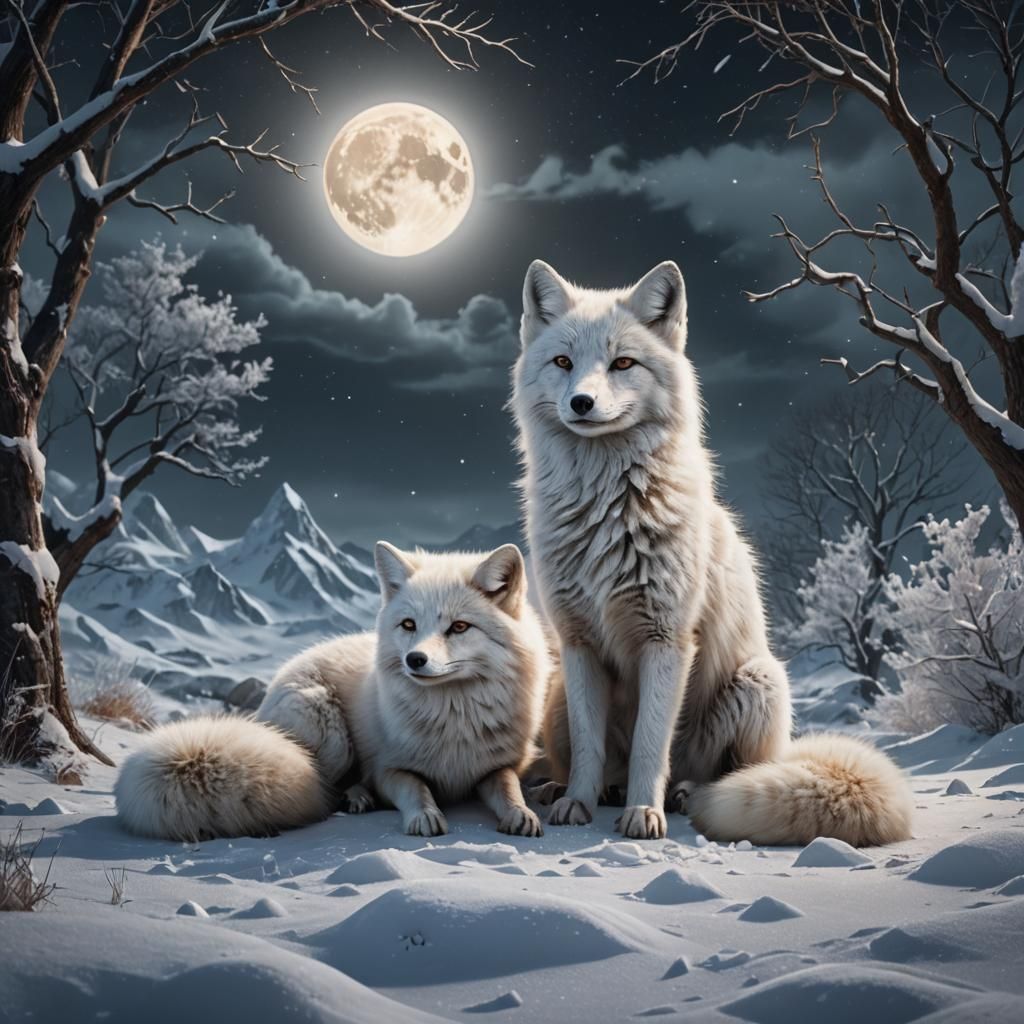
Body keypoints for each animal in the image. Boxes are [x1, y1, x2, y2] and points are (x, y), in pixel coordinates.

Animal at [116, 543, 550, 842]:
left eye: (459, 627)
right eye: (409, 624)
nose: (415, 660)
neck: (454, 717)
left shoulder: (497, 765)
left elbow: (508, 787)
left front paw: (521, 814)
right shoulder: (388, 770)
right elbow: (416, 788)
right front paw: (423, 815)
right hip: (332, 734)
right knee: (329, 784)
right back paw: (355, 798)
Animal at [511, 258, 912, 847]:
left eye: (622, 363)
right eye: (563, 362)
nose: (581, 403)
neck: (605, 510)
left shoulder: (668, 640)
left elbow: (651, 743)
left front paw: (643, 813)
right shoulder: (579, 643)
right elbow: (589, 748)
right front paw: (578, 804)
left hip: (759, 685)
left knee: (718, 772)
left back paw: (679, 795)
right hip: (558, 697)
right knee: (597, 762)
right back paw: (576, 790)